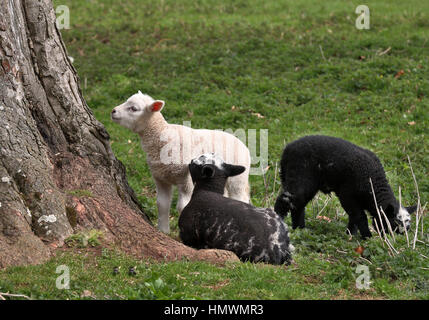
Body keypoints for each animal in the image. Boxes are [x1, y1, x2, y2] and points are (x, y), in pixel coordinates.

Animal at [110, 91, 251, 234]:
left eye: (134, 108)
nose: (113, 111)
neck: (162, 139)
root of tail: (244, 145)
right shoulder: (160, 179)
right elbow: (162, 204)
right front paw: (163, 231)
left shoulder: (186, 180)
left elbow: (182, 206)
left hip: (238, 179)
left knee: (240, 197)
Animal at [272, 134, 416, 238]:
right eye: (393, 224)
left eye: (407, 228)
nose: (397, 240)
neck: (372, 188)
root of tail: (287, 150)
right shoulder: (347, 195)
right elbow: (360, 216)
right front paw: (367, 237)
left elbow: (354, 217)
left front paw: (351, 234)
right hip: (300, 177)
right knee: (285, 201)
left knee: (298, 205)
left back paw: (300, 229)